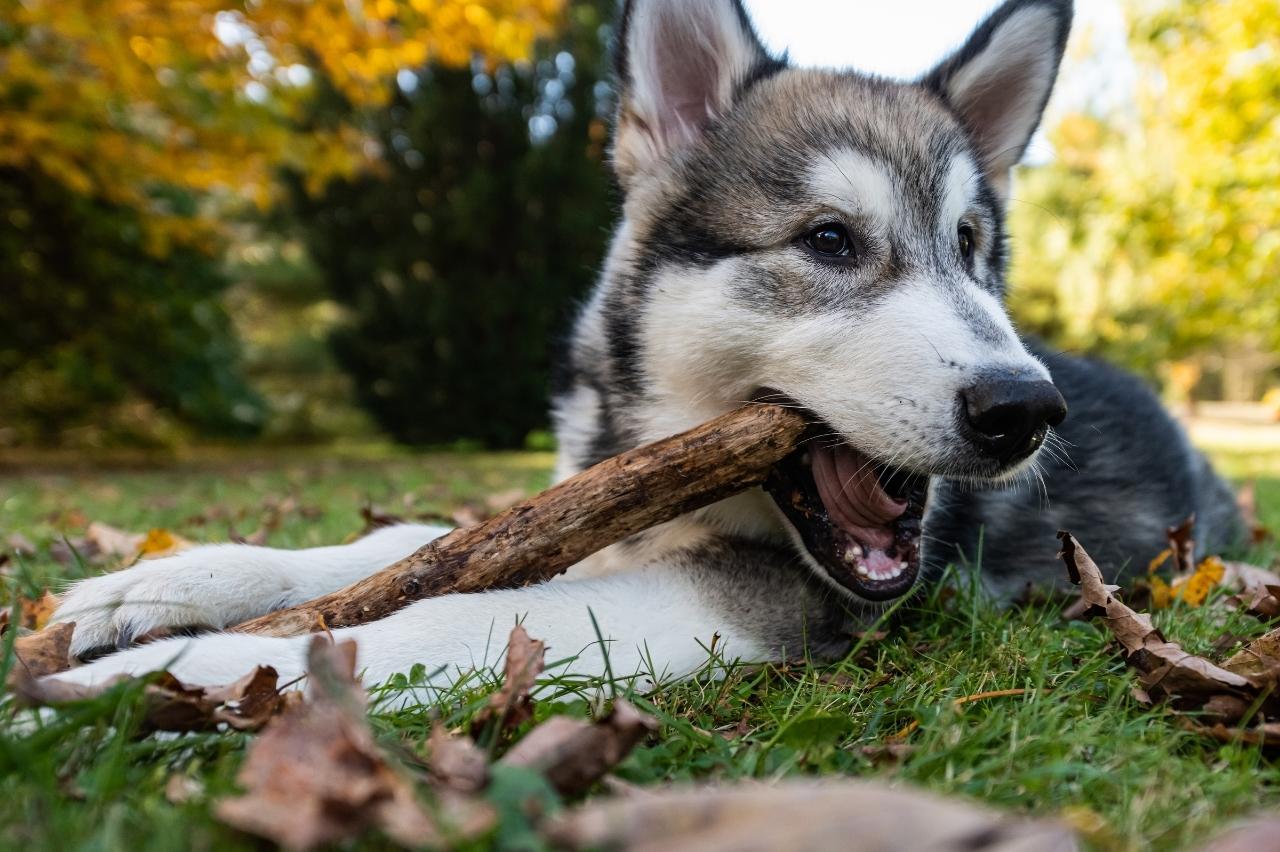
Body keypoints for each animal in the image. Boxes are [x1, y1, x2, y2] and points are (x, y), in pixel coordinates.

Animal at [49, 0, 1239, 690]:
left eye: (969, 247)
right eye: (828, 240)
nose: (1022, 411)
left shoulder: (759, 600)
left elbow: (460, 614)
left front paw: (183, 666)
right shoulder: (582, 510)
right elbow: (420, 542)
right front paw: (171, 584)